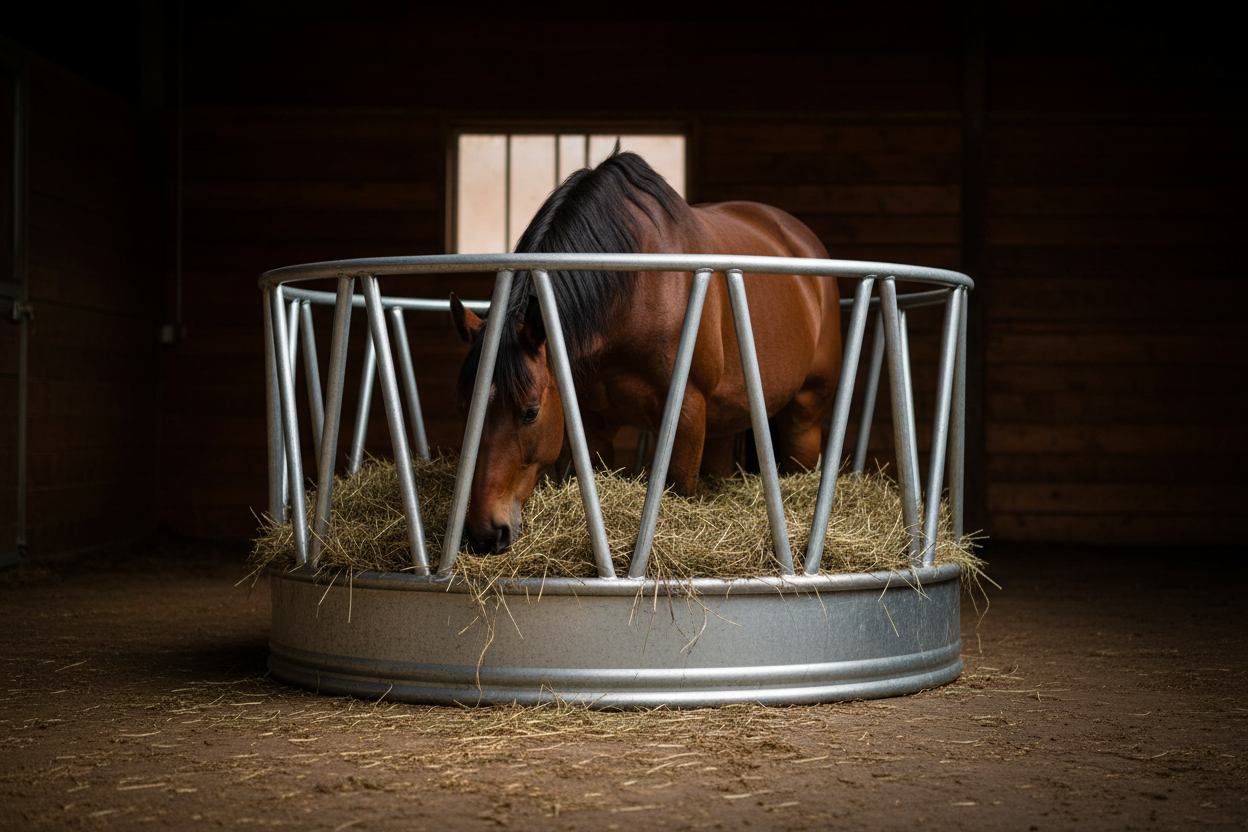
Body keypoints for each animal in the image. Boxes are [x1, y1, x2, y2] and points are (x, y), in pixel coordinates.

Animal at [451, 149, 842, 554]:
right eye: (466, 408)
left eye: (530, 413)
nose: (485, 534)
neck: (634, 291)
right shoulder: (592, 421)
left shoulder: (687, 414)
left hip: (805, 414)